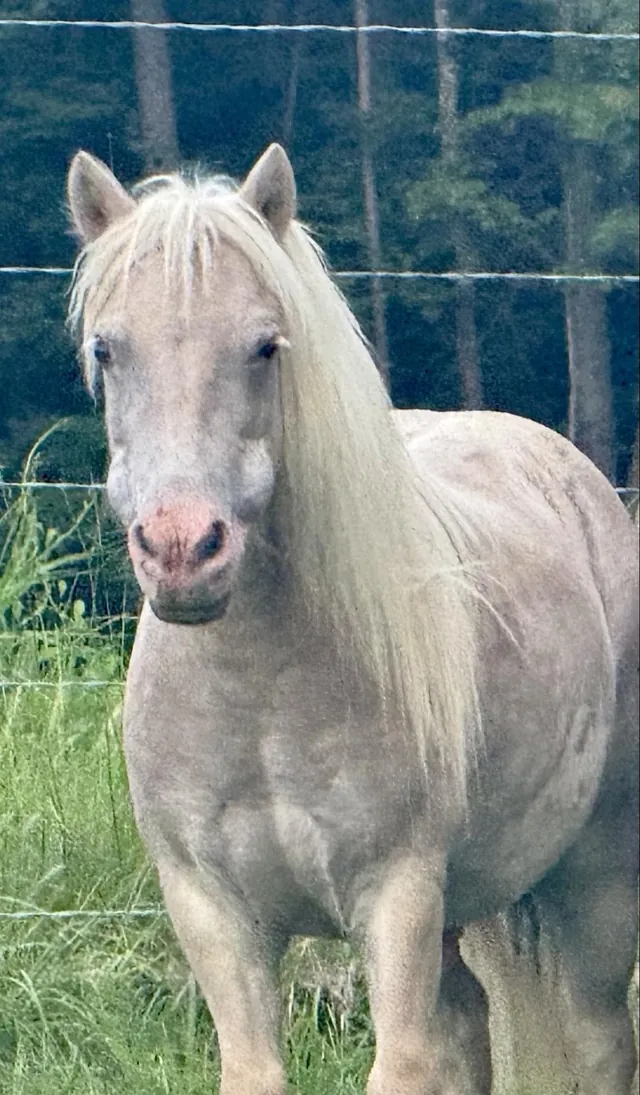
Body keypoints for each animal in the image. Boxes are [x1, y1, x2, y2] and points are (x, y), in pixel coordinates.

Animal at [66, 143, 638, 1095]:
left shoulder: (396, 896)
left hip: (594, 881)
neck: (257, 694)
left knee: (600, 1039)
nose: (183, 548)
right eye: (108, 348)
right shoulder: (212, 911)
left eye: (265, 346)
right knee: (468, 1026)